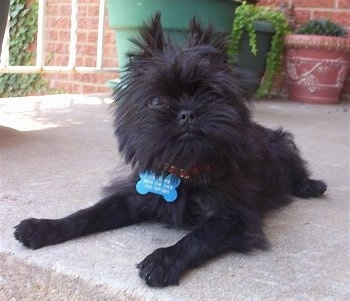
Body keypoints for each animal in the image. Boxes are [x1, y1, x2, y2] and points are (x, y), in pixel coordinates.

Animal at [13, 14, 326, 286]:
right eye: (156, 101)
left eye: (209, 94)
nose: (187, 112)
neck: (183, 171)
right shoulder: (130, 198)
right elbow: (88, 214)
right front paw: (44, 227)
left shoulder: (235, 218)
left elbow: (198, 236)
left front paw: (164, 259)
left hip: (282, 143)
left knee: (296, 169)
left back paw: (311, 185)